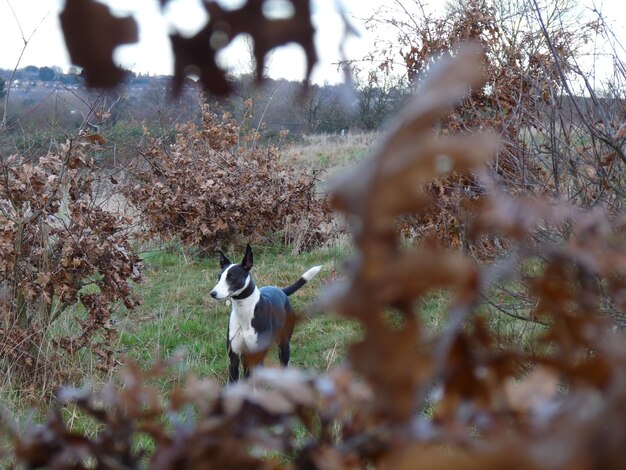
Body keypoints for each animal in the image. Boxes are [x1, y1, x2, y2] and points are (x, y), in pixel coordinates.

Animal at [210, 244, 320, 384]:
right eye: (219, 277)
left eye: (231, 277)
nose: (213, 293)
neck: (244, 313)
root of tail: (280, 290)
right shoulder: (234, 359)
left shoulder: (257, 356)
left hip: (284, 345)